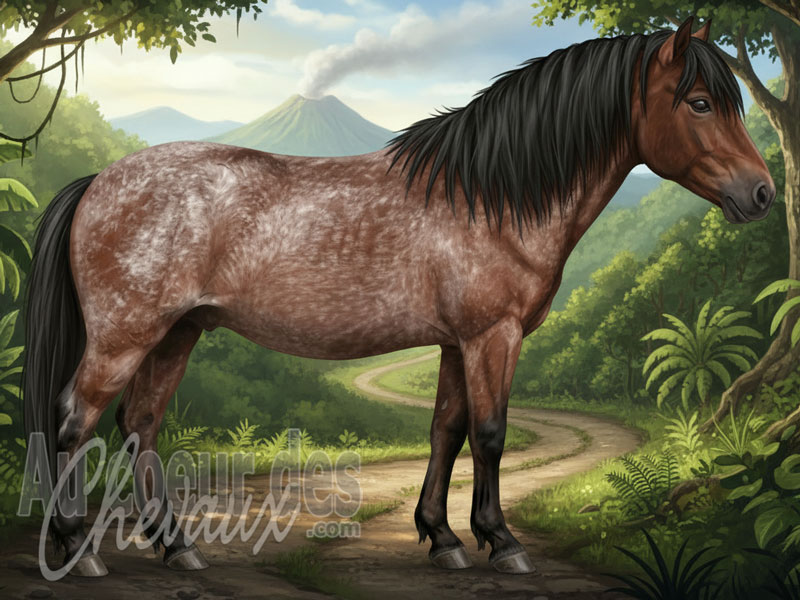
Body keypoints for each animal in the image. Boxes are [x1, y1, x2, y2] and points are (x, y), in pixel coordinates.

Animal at [22, 16, 774, 578]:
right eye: (700, 102)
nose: (763, 193)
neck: (491, 199)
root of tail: (97, 182)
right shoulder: (492, 335)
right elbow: (492, 433)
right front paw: (503, 543)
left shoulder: (454, 341)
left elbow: (447, 429)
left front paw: (443, 538)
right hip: (124, 335)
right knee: (75, 421)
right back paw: (79, 549)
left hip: (178, 332)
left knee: (141, 424)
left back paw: (178, 548)